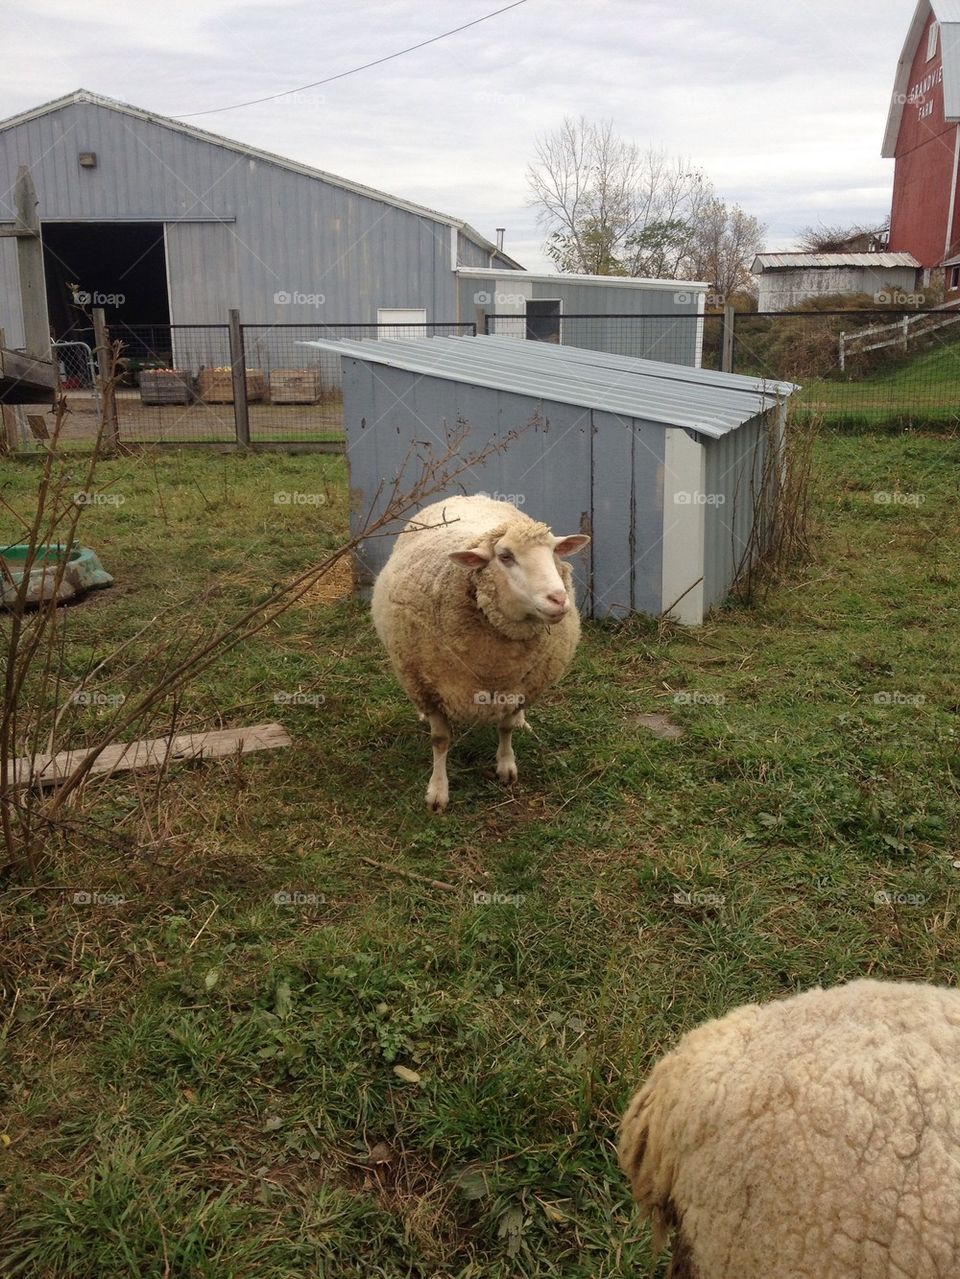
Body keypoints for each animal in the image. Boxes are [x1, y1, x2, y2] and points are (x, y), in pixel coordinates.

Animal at [371, 494, 590, 811]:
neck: (493, 668)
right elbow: (440, 740)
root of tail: (468, 496)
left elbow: (506, 728)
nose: (559, 600)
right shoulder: (428, 687)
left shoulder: (520, 686)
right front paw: (437, 791)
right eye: (505, 556)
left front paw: (506, 765)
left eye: (553, 552)